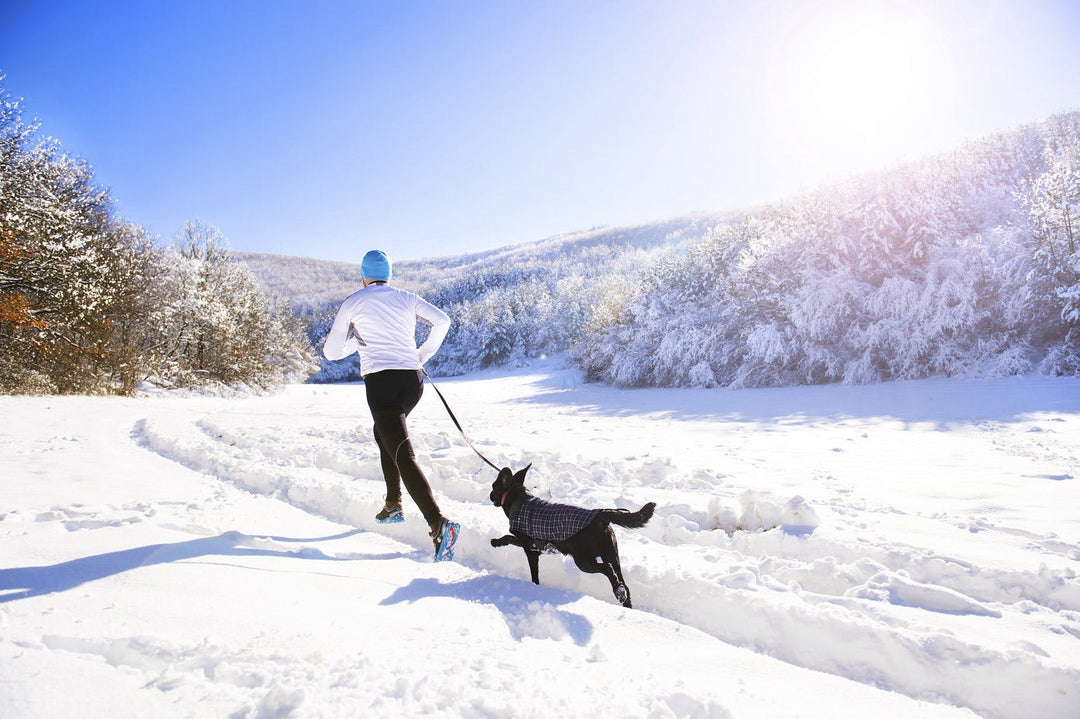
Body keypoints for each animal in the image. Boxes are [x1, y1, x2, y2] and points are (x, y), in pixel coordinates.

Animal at [492, 464, 656, 604]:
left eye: (494, 487)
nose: (490, 495)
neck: (519, 498)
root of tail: (600, 515)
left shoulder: (529, 546)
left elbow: (511, 540)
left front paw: (495, 542)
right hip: (611, 554)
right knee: (624, 584)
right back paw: (622, 596)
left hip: (583, 560)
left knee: (608, 569)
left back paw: (618, 592)